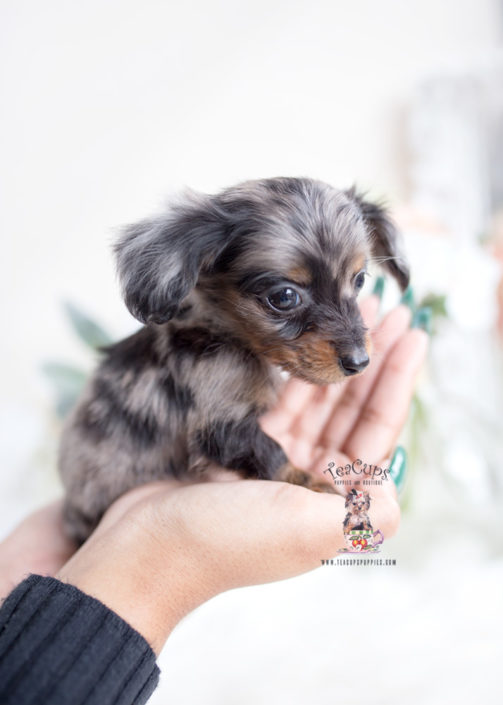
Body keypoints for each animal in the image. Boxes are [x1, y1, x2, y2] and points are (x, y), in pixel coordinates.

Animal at [58, 175, 410, 540]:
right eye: (284, 297)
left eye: (359, 280)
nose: (359, 362)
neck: (224, 334)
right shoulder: (221, 423)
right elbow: (268, 450)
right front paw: (306, 481)